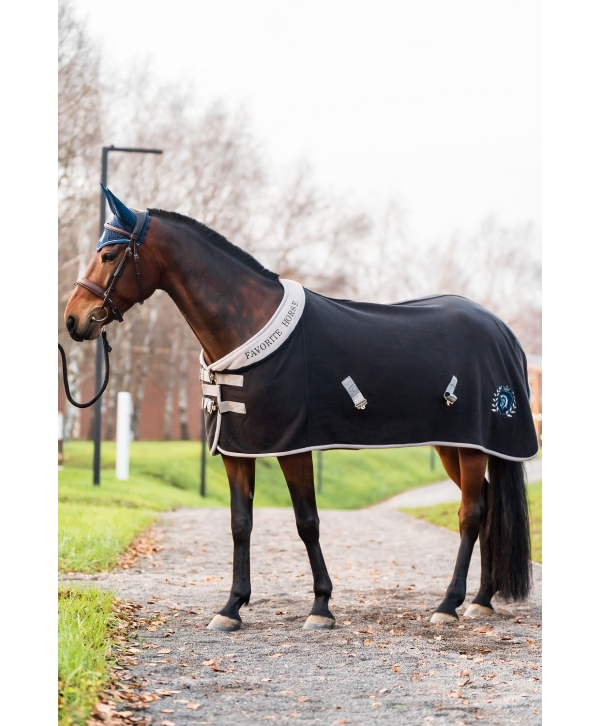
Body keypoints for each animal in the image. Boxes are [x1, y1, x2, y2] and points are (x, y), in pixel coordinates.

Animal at [63, 186, 537, 631]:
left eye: (108, 254)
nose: (73, 320)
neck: (247, 327)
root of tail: (503, 331)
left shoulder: (292, 446)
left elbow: (307, 521)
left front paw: (321, 607)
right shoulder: (238, 449)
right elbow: (240, 523)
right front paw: (231, 607)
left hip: (472, 446)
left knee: (470, 514)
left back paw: (449, 604)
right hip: (452, 444)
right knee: (487, 506)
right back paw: (481, 599)